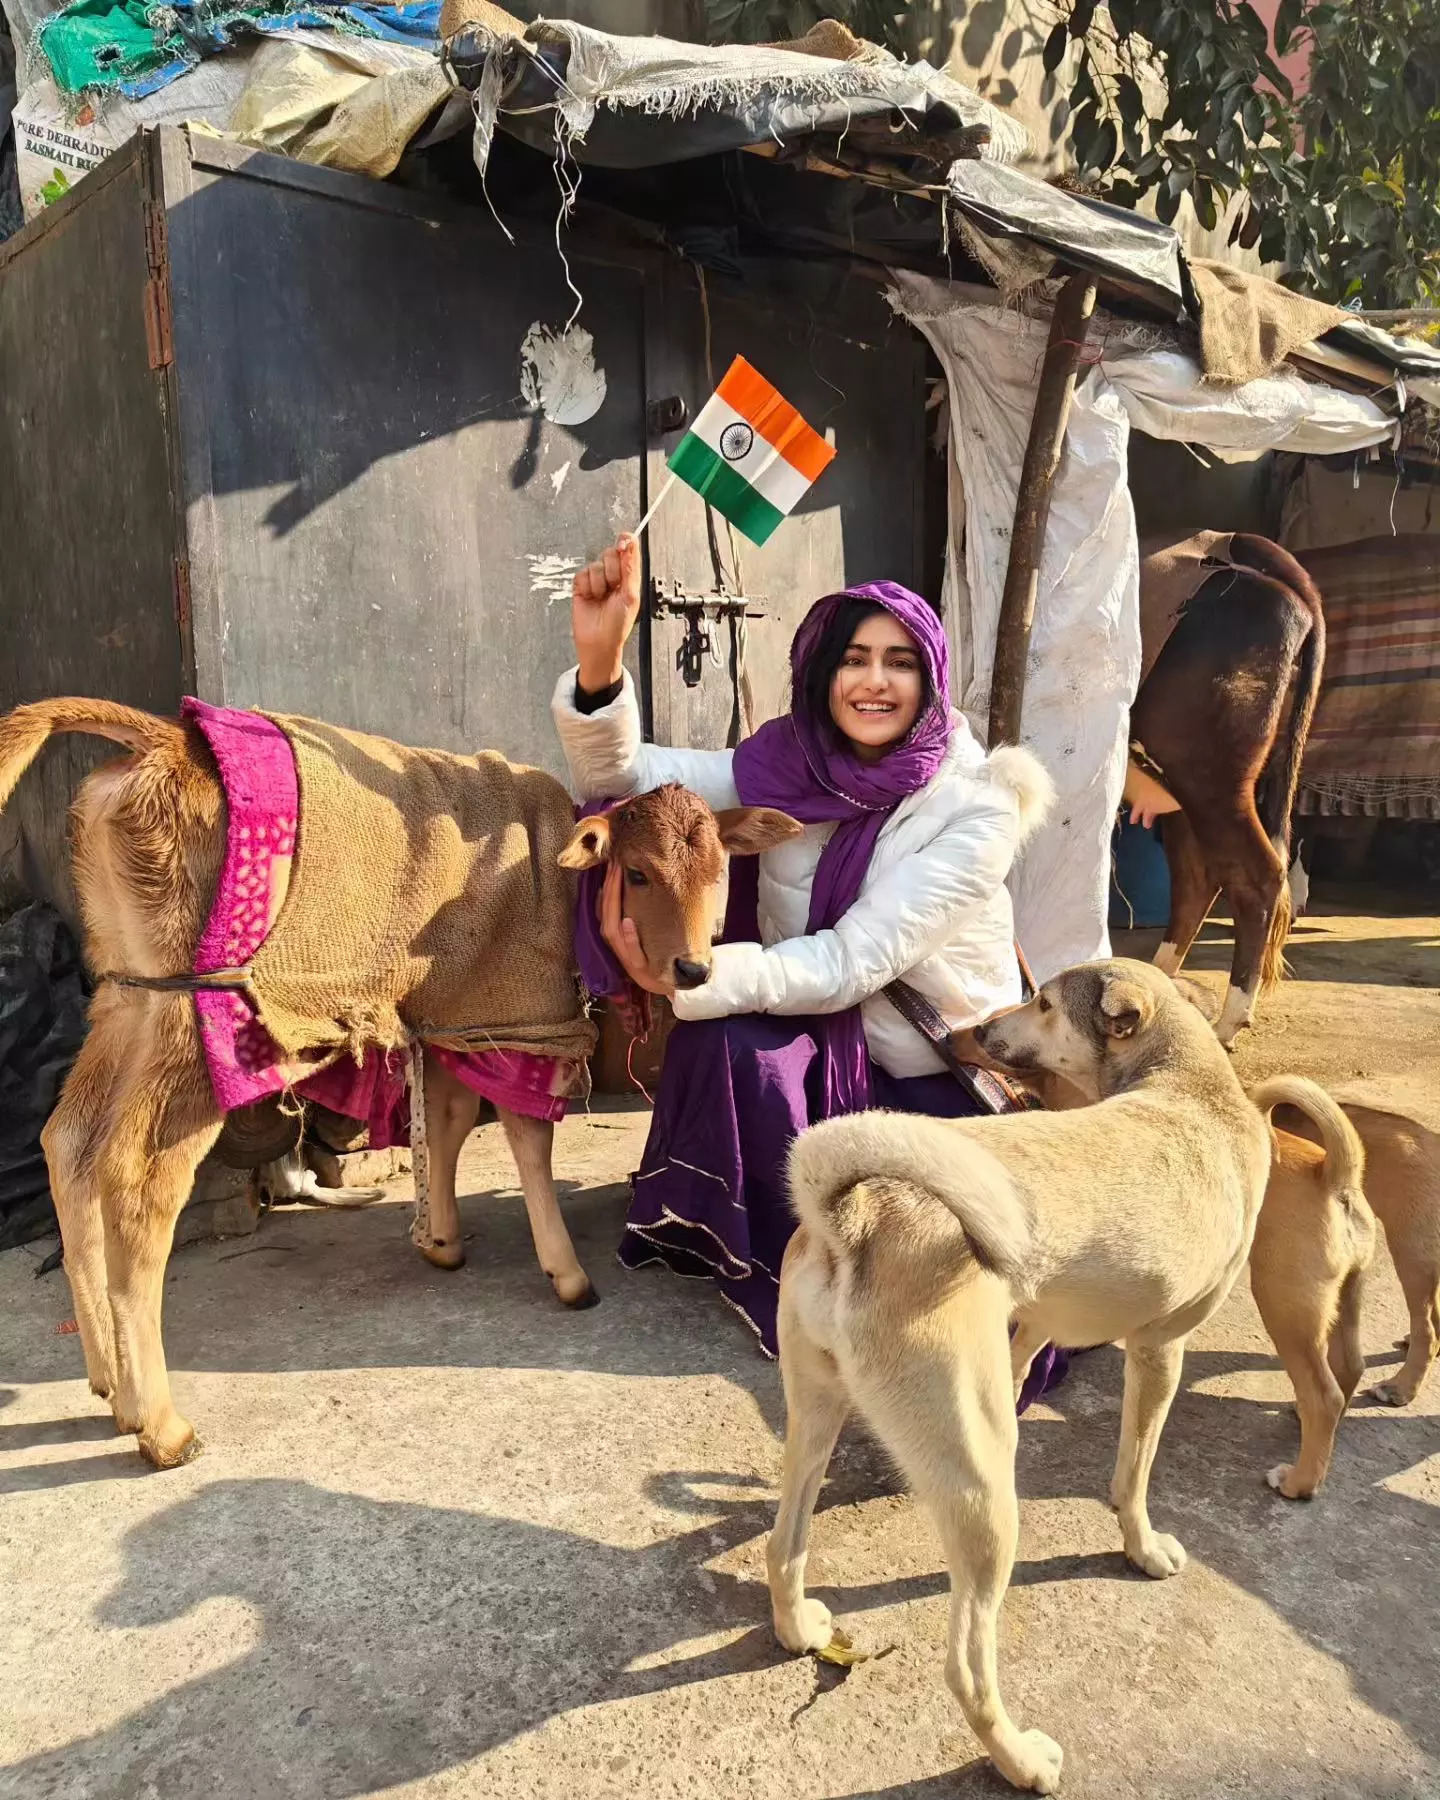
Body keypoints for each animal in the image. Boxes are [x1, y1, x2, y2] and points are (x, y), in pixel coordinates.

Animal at [0, 694, 799, 1468]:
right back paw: (160, 1425)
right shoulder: (514, 1011)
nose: (694, 967)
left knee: (68, 1141)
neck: (563, 889)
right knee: (137, 1181)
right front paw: (567, 1274)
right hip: (200, 1015)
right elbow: (525, 1133)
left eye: (720, 871)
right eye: (636, 873)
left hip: (128, 994)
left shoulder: (451, 1014)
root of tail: (166, 737)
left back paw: (109, 1384)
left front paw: (439, 1240)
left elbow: (445, 1120)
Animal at [777, 964, 1274, 1792]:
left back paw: (797, 1627)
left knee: (782, 1547)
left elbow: (1023, 1374)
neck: (1186, 1083)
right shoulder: (1160, 1352)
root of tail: (854, 1212)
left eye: (1042, 1002)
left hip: (815, 1421)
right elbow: (1133, 1475)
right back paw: (1020, 1759)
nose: (973, 1030)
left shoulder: (1031, 1329)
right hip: (985, 1496)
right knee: (965, 1667)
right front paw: (1142, 1548)